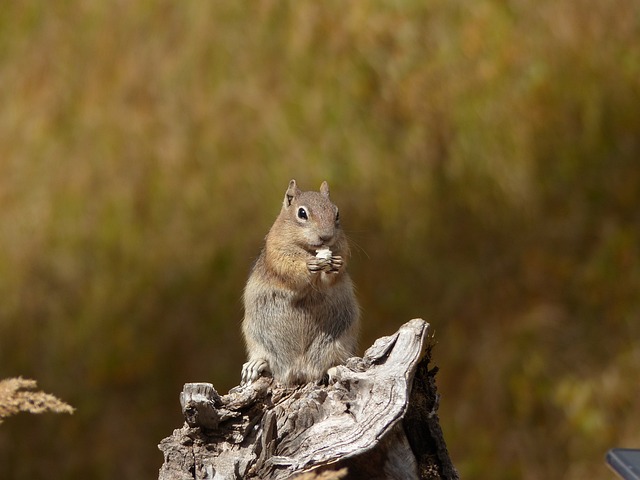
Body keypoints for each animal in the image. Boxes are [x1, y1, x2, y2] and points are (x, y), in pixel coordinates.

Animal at [240, 180, 360, 386]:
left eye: (337, 213)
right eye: (302, 213)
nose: (326, 236)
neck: (310, 249)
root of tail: (299, 369)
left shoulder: (342, 248)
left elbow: (334, 275)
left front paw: (335, 265)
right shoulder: (277, 252)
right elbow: (290, 268)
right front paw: (308, 265)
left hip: (341, 339)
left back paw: (334, 368)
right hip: (255, 335)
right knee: (264, 357)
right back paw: (255, 364)